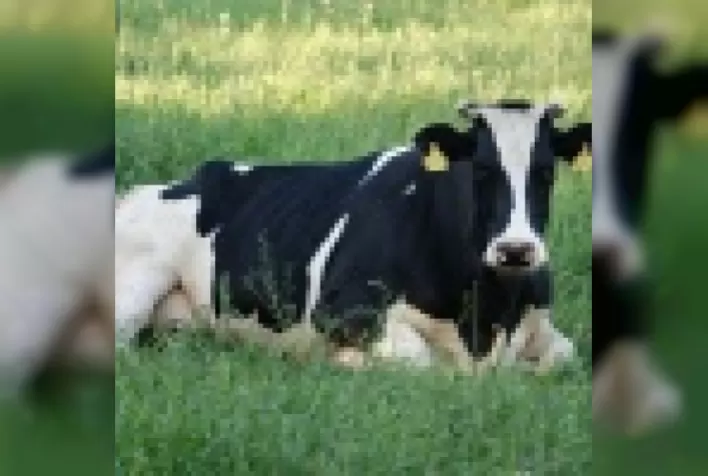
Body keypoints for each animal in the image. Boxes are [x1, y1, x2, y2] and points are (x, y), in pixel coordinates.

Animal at [205, 108, 590, 371]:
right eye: (480, 169)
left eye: (547, 172)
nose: (516, 249)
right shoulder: (338, 308)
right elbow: (417, 356)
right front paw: (348, 361)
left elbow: (565, 353)